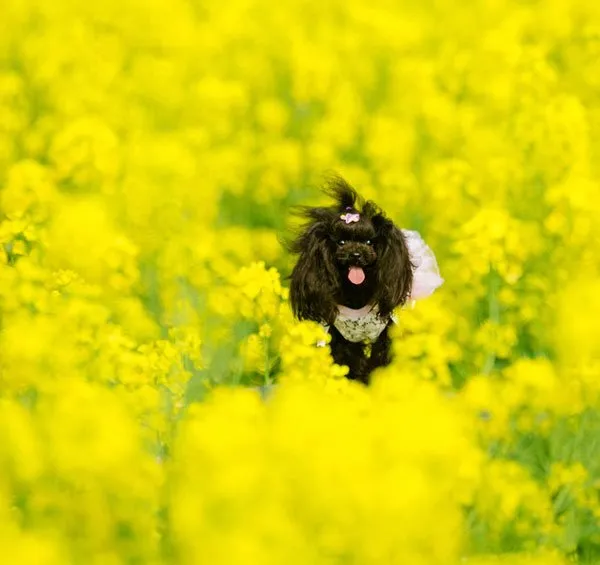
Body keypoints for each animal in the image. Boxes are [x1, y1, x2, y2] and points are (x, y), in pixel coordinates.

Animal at [288, 178, 414, 386]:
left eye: (370, 242)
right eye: (341, 242)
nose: (355, 254)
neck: (356, 294)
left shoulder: (386, 332)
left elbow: (382, 356)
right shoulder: (340, 338)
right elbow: (348, 360)